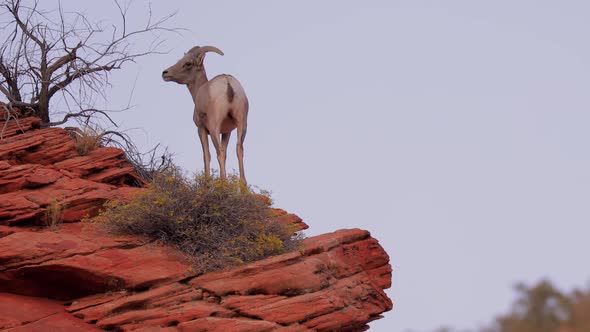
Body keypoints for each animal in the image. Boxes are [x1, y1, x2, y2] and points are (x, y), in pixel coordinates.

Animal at [163, 45, 251, 184]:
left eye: (188, 64)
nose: (165, 73)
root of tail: (228, 83)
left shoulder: (201, 129)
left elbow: (206, 155)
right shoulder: (227, 132)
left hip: (214, 128)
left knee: (219, 152)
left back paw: (223, 182)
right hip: (242, 123)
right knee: (239, 149)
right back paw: (242, 185)